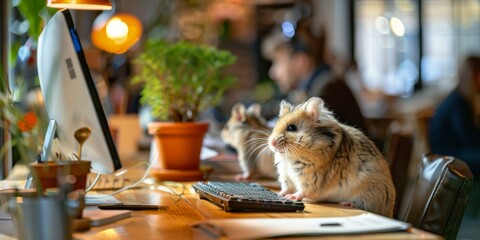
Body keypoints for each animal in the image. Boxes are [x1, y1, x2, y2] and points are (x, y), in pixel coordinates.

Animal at [268, 96, 396, 217]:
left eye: (292, 127)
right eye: (276, 125)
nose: (272, 143)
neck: (290, 157)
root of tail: (389, 210)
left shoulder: (310, 179)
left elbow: (301, 191)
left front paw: (291, 197)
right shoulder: (286, 177)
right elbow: (286, 188)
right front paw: (278, 194)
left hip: (371, 194)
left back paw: (347, 203)